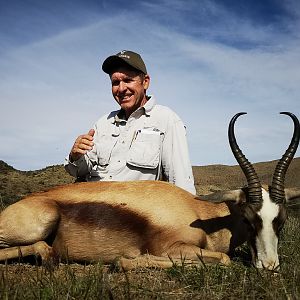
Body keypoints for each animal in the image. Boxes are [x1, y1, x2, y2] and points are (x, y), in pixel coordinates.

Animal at [0, 112, 298, 270]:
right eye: (248, 219)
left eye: (280, 221)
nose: (270, 266)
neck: (199, 213)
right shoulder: (173, 248)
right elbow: (224, 258)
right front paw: (125, 260)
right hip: (43, 221)